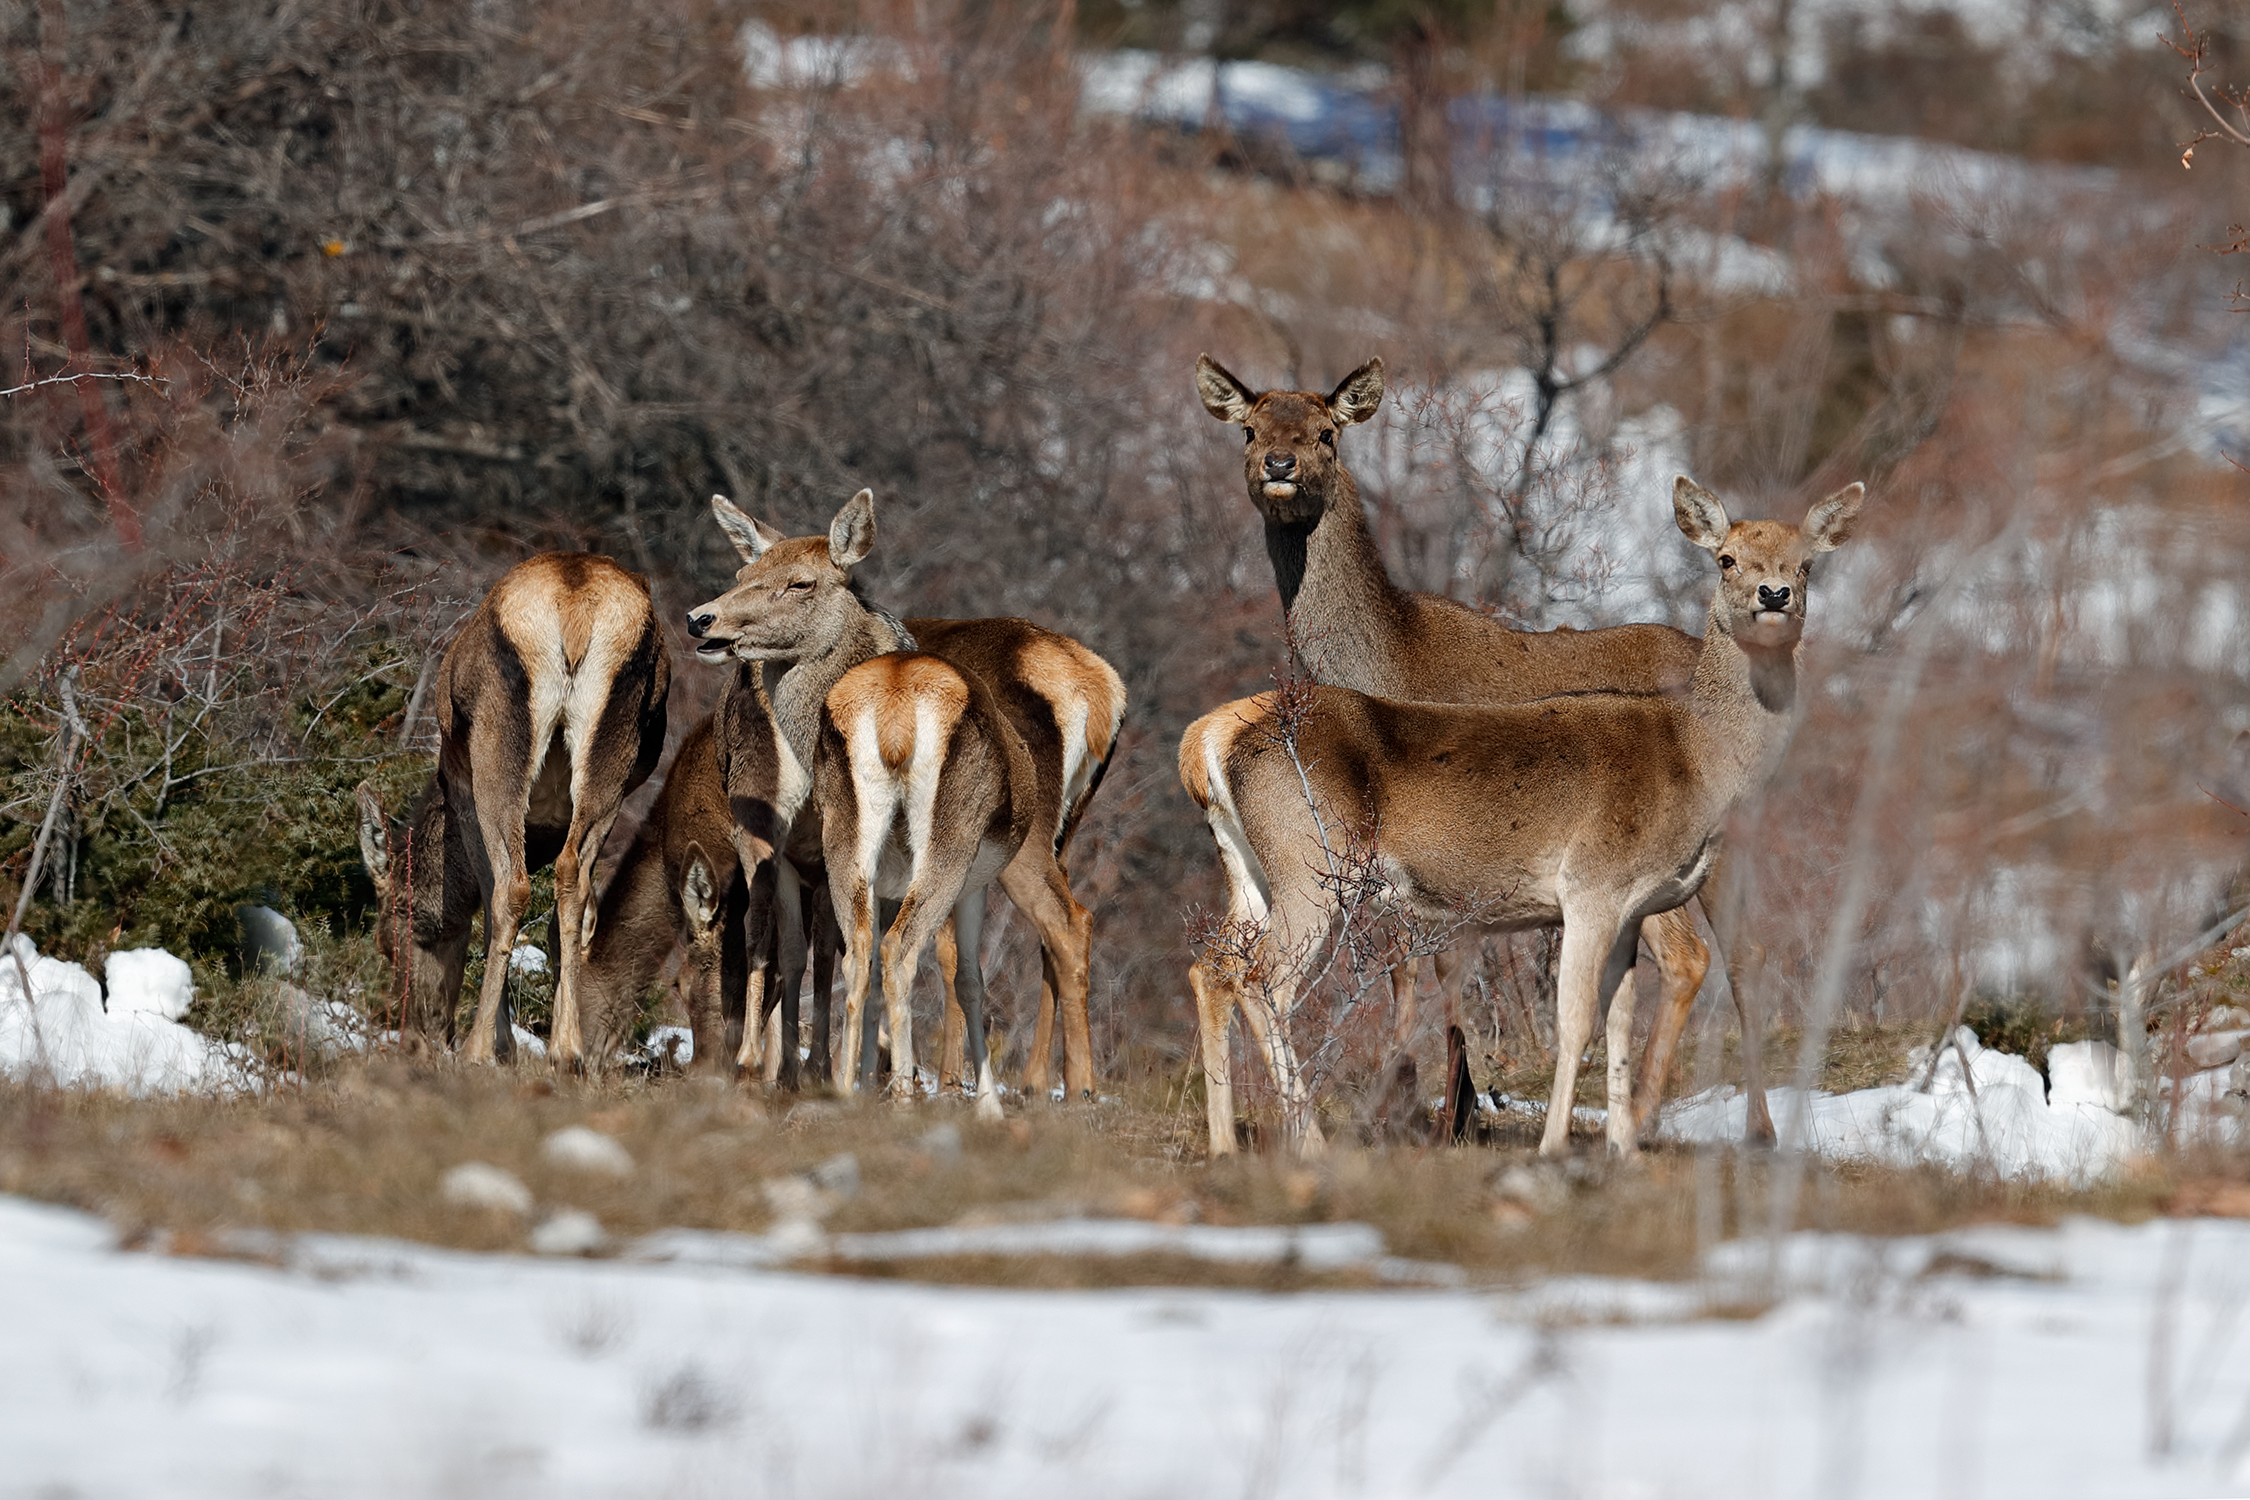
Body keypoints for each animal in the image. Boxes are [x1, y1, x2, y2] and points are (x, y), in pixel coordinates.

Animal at [356, 552, 671, 1066]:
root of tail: (575, 604)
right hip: (613, 760)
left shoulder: (462, 788)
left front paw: (500, 1046)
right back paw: (565, 1050)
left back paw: (479, 1049)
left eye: (389, 940)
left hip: (496, 751)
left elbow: (487, 908)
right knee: (573, 879)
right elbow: (571, 926)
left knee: (512, 889)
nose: (419, 1040)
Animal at [688, 494, 1124, 1101]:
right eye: (742, 574)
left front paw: (777, 1067)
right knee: (1037, 931)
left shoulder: (769, 829)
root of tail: (1104, 691)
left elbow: (787, 942)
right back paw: (1036, 1084)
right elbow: (828, 950)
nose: (700, 618)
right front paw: (829, 1069)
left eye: (801, 582)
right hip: (1033, 834)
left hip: (999, 841)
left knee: (1057, 924)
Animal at [1181, 475, 1864, 1156]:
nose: (1774, 594)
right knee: (1263, 978)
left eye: (1806, 563)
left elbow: (1619, 1019)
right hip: (1310, 862)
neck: (1694, 756)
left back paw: (1225, 1142)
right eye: (1726, 559)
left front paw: (1621, 1149)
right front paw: (1556, 1146)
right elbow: (1577, 1019)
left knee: (1212, 967)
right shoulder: (1592, 884)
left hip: (1250, 871)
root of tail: (1207, 738)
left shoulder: (1632, 906)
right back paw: (1312, 1141)